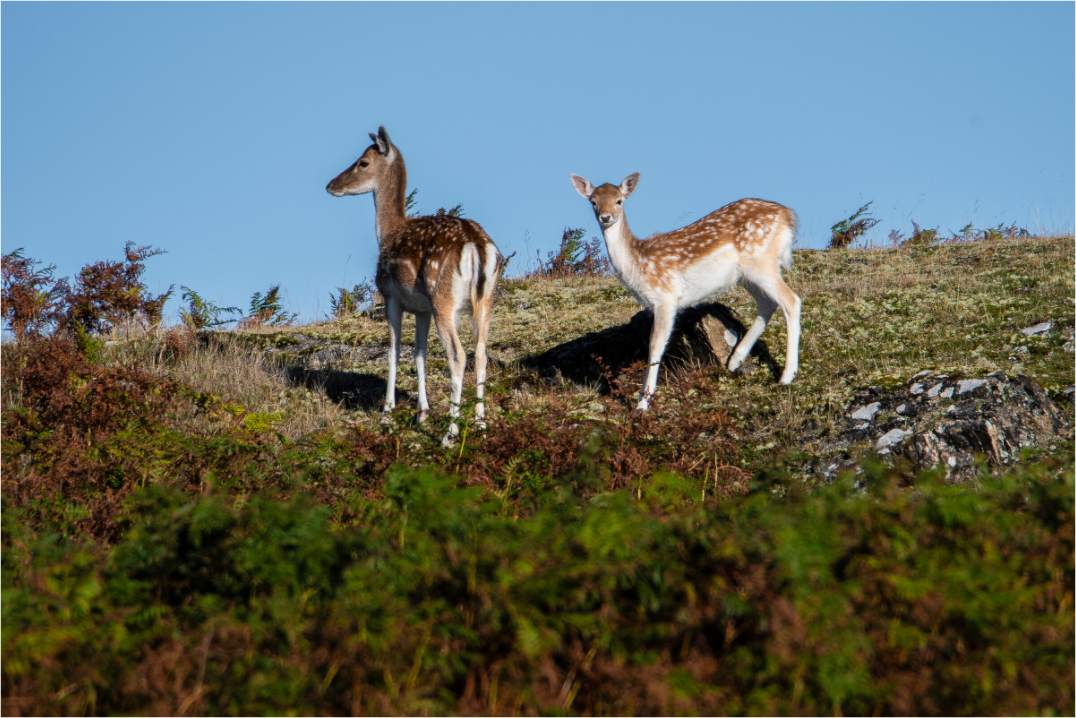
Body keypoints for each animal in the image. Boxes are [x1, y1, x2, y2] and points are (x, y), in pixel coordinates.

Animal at [327, 126, 501, 445]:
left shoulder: (390, 296)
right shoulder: (422, 309)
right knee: (481, 353)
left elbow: (393, 351)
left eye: (362, 162)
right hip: (486, 298)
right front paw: (422, 415)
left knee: (458, 356)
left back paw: (450, 433)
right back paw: (481, 425)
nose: (331, 185)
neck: (387, 234)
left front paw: (387, 415)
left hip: (442, 297)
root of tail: (477, 246)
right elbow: (420, 353)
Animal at [570, 172, 801, 411]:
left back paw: (787, 376)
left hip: (761, 261)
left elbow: (655, 344)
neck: (638, 267)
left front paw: (643, 402)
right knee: (768, 304)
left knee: (791, 300)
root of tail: (788, 216)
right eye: (593, 202)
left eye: (619, 200)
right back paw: (734, 361)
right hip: (747, 275)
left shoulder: (665, 297)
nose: (605, 217)